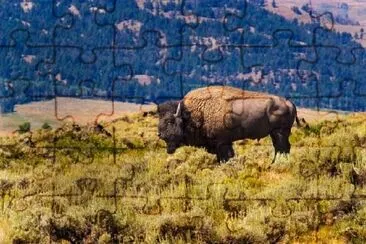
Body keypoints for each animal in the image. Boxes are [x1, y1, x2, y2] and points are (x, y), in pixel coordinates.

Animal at [157, 86, 300, 162]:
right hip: (275, 133)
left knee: (282, 148)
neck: (192, 114)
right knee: (281, 148)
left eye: (170, 121)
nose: (160, 134)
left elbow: (226, 157)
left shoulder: (223, 143)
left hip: (279, 132)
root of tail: (289, 102)